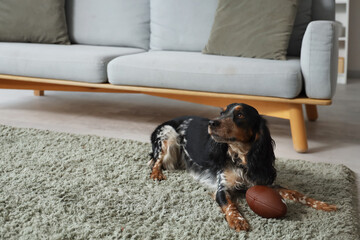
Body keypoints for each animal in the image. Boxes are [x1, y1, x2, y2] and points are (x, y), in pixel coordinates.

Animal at [148, 102, 336, 231]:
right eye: (222, 112)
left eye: (240, 115)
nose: (212, 123)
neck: (242, 159)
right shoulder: (222, 188)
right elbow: (230, 206)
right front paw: (238, 220)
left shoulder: (264, 183)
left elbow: (296, 193)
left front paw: (322, 204)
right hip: (167, 135)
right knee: (156, 161)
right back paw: (156, 174)